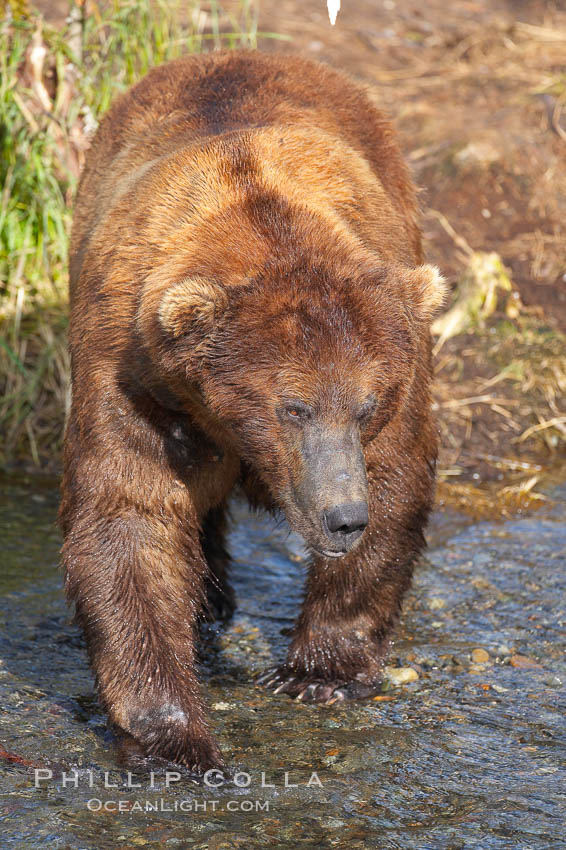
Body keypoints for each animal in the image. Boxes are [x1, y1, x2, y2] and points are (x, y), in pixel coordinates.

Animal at [58, 49, 448, 772]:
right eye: (293, 407)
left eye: (367, 405)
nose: (343, 517)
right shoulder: (134, 372)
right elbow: (130, 515)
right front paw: (173, 742)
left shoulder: (399, 362)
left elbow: (394, 478)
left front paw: (316, 675)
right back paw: (209, 603)